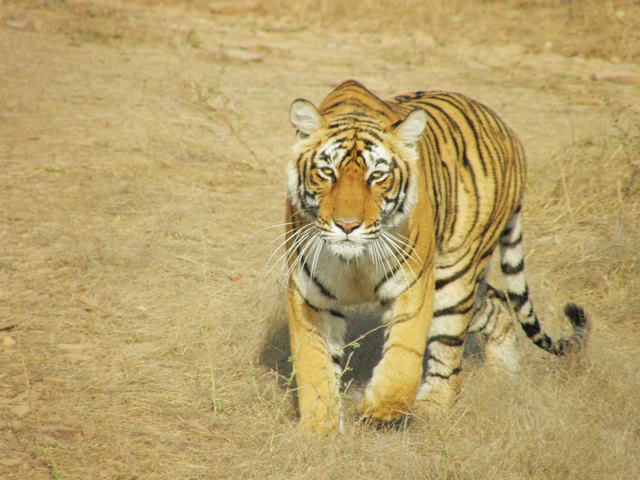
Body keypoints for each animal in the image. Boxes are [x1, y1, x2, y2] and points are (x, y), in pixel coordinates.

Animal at [282, 79, 589, 433]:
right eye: (327, 172)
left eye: (377, 176)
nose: (347, 225)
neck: (354, 261)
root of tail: (507, 129)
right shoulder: (309, 295)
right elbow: (313, 364)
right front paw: (319, 430)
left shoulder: (413, 285)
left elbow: (404, 355)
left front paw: (379, 410)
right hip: (470, 288)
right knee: (498, 303)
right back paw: (504, 379)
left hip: (454, 277)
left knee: (449, 349)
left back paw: (432, 409)